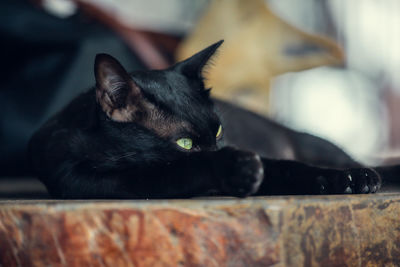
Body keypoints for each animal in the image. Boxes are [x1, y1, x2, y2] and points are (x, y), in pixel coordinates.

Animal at [28, 40, 384, 199]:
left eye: (219, 130)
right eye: (185, 143)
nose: (220, 149)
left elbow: (288, 168)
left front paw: (348, 179)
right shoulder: (89, 179)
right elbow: (181, 170)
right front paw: (234, 169)